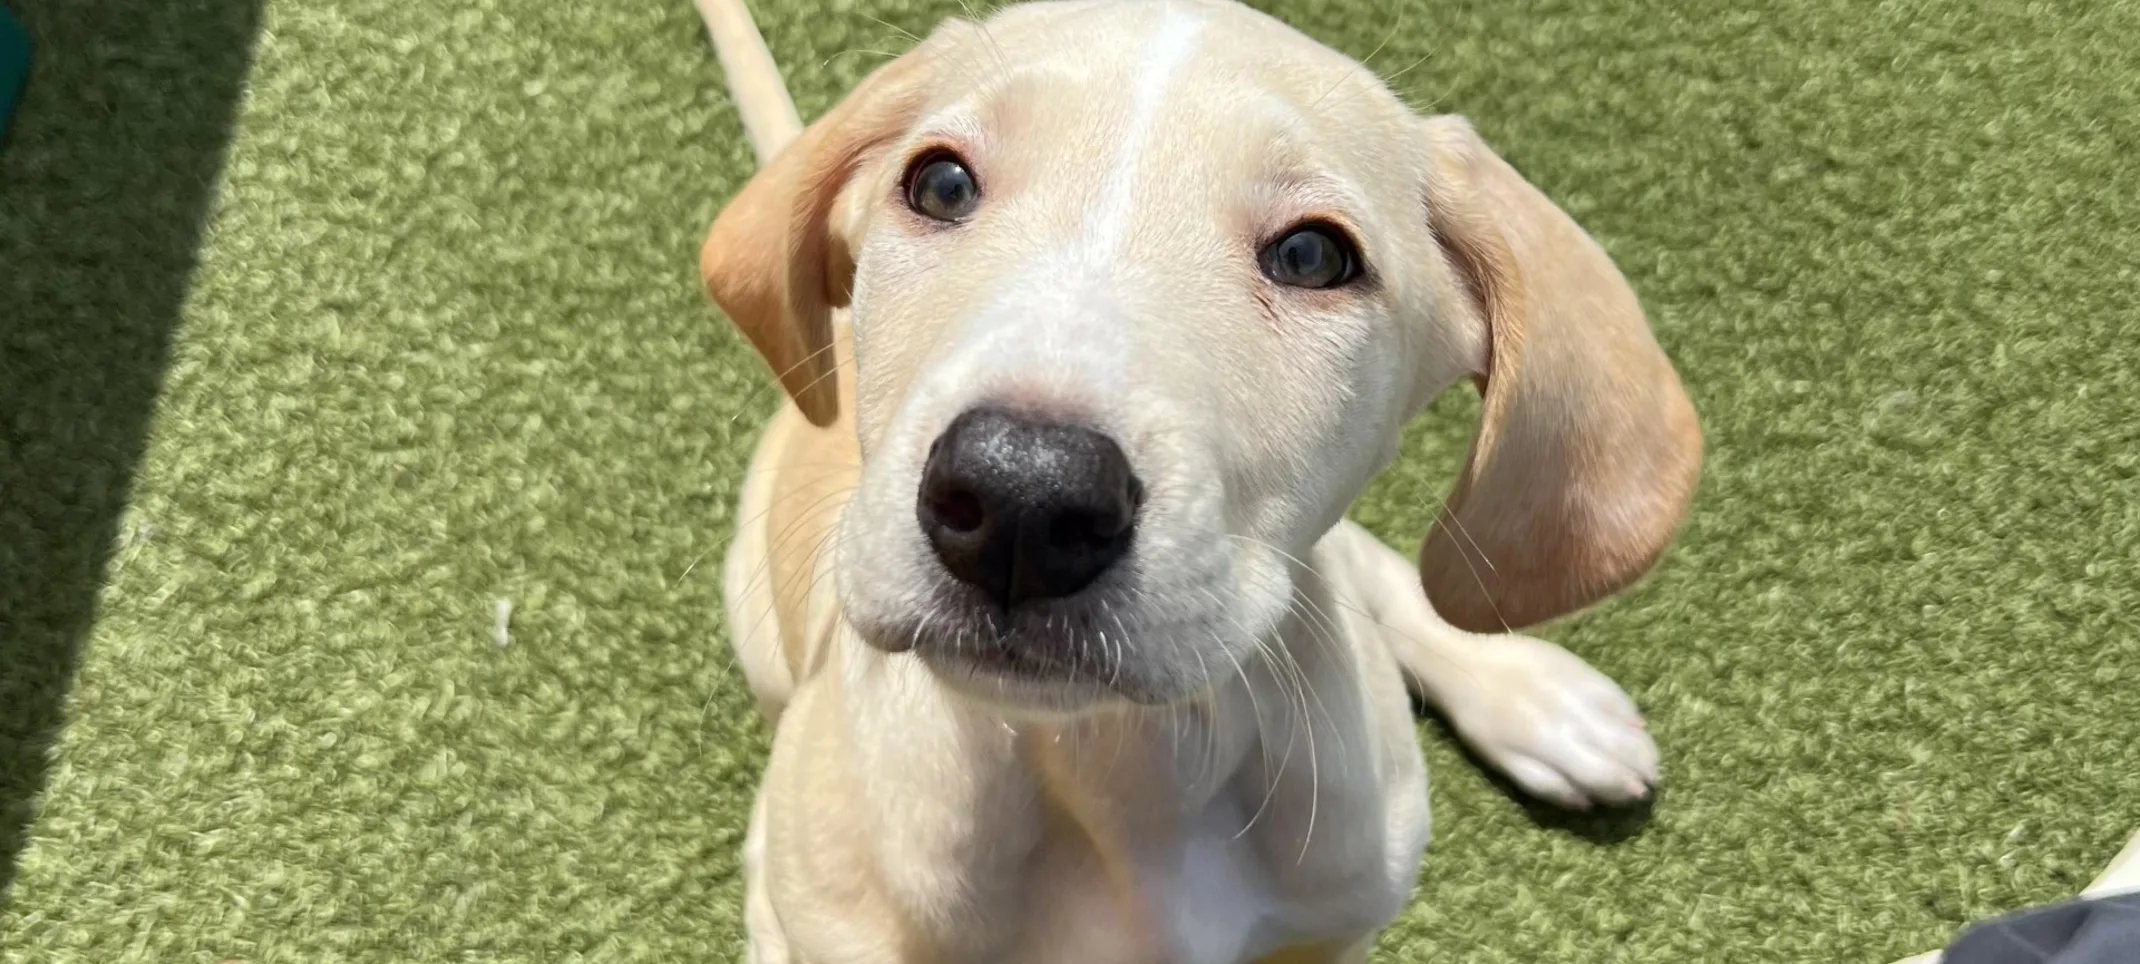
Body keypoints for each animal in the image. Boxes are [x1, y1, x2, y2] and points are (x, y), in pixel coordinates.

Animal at [701, 3, 1703, 959]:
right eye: (941, 185)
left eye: (1311, 257)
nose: (1021, 500)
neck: (1125, 766)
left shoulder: (1330, 932)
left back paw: (1546, 705)